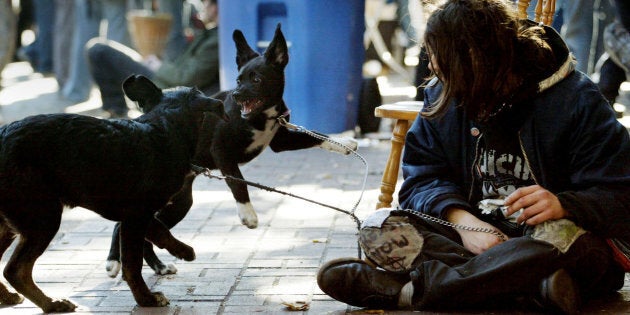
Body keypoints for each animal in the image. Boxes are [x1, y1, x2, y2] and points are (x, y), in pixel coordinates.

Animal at [0, 74, 227, 314]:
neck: (163, 127)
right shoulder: (137, 215)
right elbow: (133, 263)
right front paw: (146, 298)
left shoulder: (137, 214)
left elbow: (158, 230)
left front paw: (179, 250)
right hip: (43, 219)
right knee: (15, 270)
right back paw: (51, 304)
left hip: (12, 223)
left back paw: (9, 297)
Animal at [106, 25, 358, 278]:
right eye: (238, 80)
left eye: (256, 79)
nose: (236, 95)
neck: (261, 116)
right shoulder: (221, 151)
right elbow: (238, 181)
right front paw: (248, 214)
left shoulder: (282, 141)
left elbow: (315, 135)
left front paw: (343, 142)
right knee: (123, 224)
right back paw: (114, 261)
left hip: (178, 202)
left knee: (146, 230)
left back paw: (159, 266)